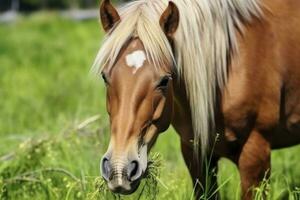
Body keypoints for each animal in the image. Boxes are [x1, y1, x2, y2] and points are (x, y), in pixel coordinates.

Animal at [94, 0, 300, 199]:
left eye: (164, 81)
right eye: (105, 77)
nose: (119, 169)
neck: (229, 66)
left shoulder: (255, 152)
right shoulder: (195, 153)